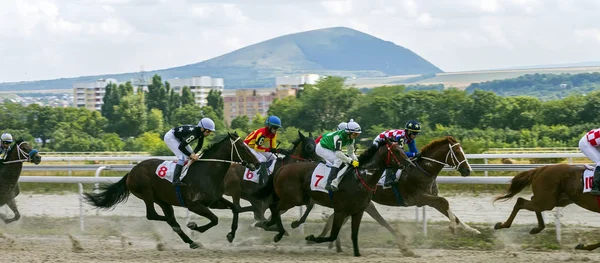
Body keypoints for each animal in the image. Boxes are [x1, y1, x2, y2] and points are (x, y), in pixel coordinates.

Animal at [252, 138, 412, 258]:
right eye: (397, 151)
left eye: (402, 149)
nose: (409, 164)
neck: (360, 179)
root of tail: (282, 168)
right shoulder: (340, 210)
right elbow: (333, 235)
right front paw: (312, 238)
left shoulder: (358, 211)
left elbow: (354, 234)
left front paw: (357, 253)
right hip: (293, 199)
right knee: (274, 207)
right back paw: (277, 232)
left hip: (298, 198)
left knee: (274, 208)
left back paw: (269, 224)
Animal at [304, 137, 478, 253]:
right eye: (457, 152)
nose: (468, 170)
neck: (423, 171)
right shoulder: (419, 198)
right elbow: (445, 201)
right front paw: (453, 228)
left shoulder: (429, 199)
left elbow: (446, 207)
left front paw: (471, 230)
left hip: (359, 202)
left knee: (339, 217)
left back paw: (331, 243)